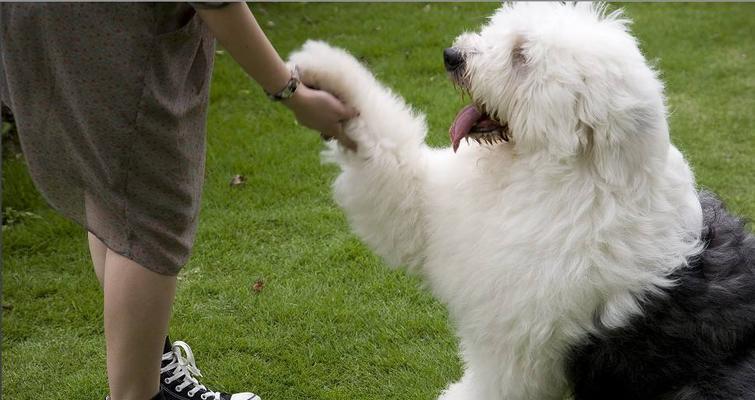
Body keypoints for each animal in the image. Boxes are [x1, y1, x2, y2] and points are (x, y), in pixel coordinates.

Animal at [290, 3, 755, 400]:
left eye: (521, 56)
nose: (452, 56)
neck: (559, 173)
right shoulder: (431, 208)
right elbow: (390, 158)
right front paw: (326, 74)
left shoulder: (515, 346)